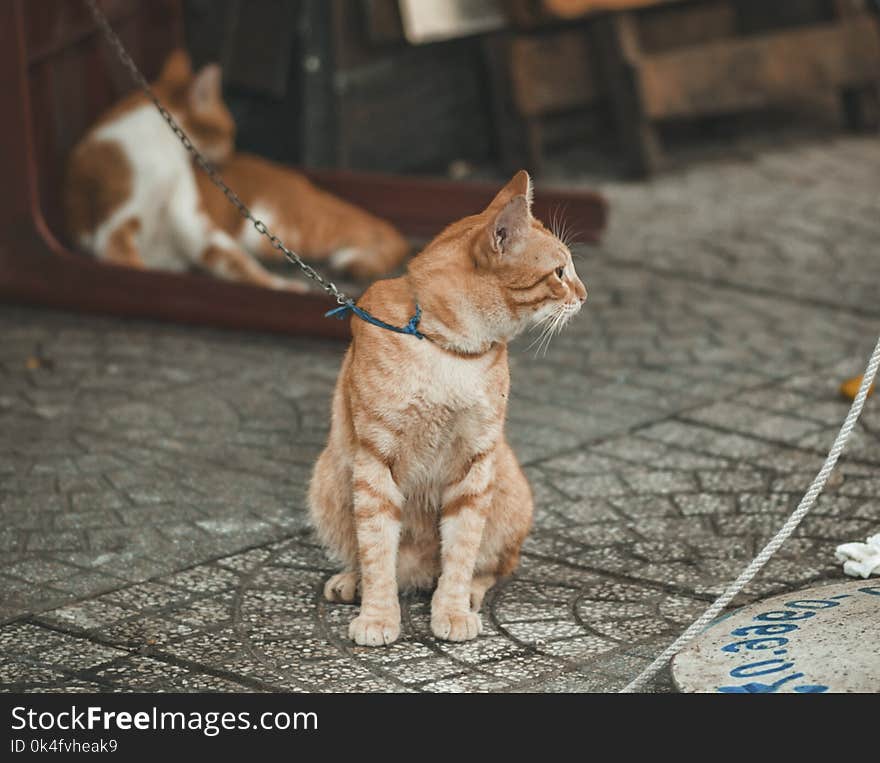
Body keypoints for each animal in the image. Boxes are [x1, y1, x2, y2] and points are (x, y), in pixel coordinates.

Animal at [64, 50, 410, 290]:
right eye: (229, 131)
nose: (231, 149)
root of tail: (304, 183)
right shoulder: (115, 229)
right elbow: (133, 265)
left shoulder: (195, 226)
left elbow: (242, 266)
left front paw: (283, 286)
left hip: (276, 228)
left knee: (377, 229)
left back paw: (351, 258)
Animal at [306, 172, 588, 644]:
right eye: (560, 272)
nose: (585, 295)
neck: (449, 351)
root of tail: (418, 574)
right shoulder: (375, 461)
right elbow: (377, 549)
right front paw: (378, 615)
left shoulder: (475, 462)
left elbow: (461, 549)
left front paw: (452, 609)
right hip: (328, 479)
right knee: (372, 558)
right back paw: (353, 581)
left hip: (507, 486)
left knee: (494, 565)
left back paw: (468, 591)